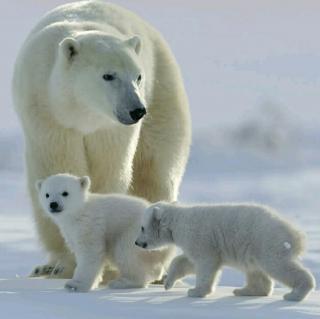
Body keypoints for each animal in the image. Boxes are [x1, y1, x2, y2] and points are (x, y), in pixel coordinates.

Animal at [12, 0, 191, 278]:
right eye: (108, 75)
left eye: (138, 76)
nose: (137, 110)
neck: (81, 112)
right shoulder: (47, 112)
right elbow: (58, 165)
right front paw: (63, 263)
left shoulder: (109, 129)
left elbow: (111, 172)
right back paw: (45, 267)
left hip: (163, 90)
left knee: (155, 172)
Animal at [37, 175, 175, 292]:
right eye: (47, 194)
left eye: (65, 193)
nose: (53, 204)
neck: (79, 212)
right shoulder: (70, 232)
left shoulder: (90, 225)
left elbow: (90, 253)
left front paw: (76, 284)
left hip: (137, 233)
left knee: (125, 252)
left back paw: (123, 282)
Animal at [136, 202, 316, 302]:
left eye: (142, 227)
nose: (137, 242)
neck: (177, 222)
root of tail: (295, 234)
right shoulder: (193, 242)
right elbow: (187, 261)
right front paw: (168, 283)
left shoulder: (199, 237)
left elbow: (206, 263)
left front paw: (196, 291)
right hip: (253, 248)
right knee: (256, 271)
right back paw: (244, 291)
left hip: (266, 242)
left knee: (278, 265)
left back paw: (295, 294)